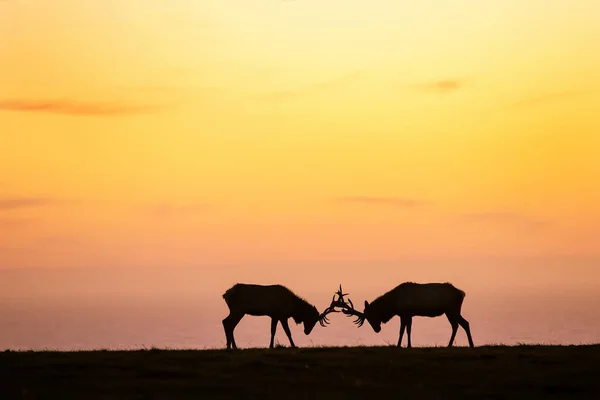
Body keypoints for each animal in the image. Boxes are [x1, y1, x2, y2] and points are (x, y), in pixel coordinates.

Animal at [338, 282, 474, 346]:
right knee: (465, 323)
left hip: (451, 309)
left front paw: (402, 345)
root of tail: (462, 293)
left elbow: (404, 330)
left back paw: (449, 345)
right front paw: (405, 345)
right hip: (452, 310)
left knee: (456, 325)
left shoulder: (406, 313)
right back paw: (471, 345)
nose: (377, 329)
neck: (394, 304)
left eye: (371, 316)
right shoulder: (407, 314)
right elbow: (406, 330)